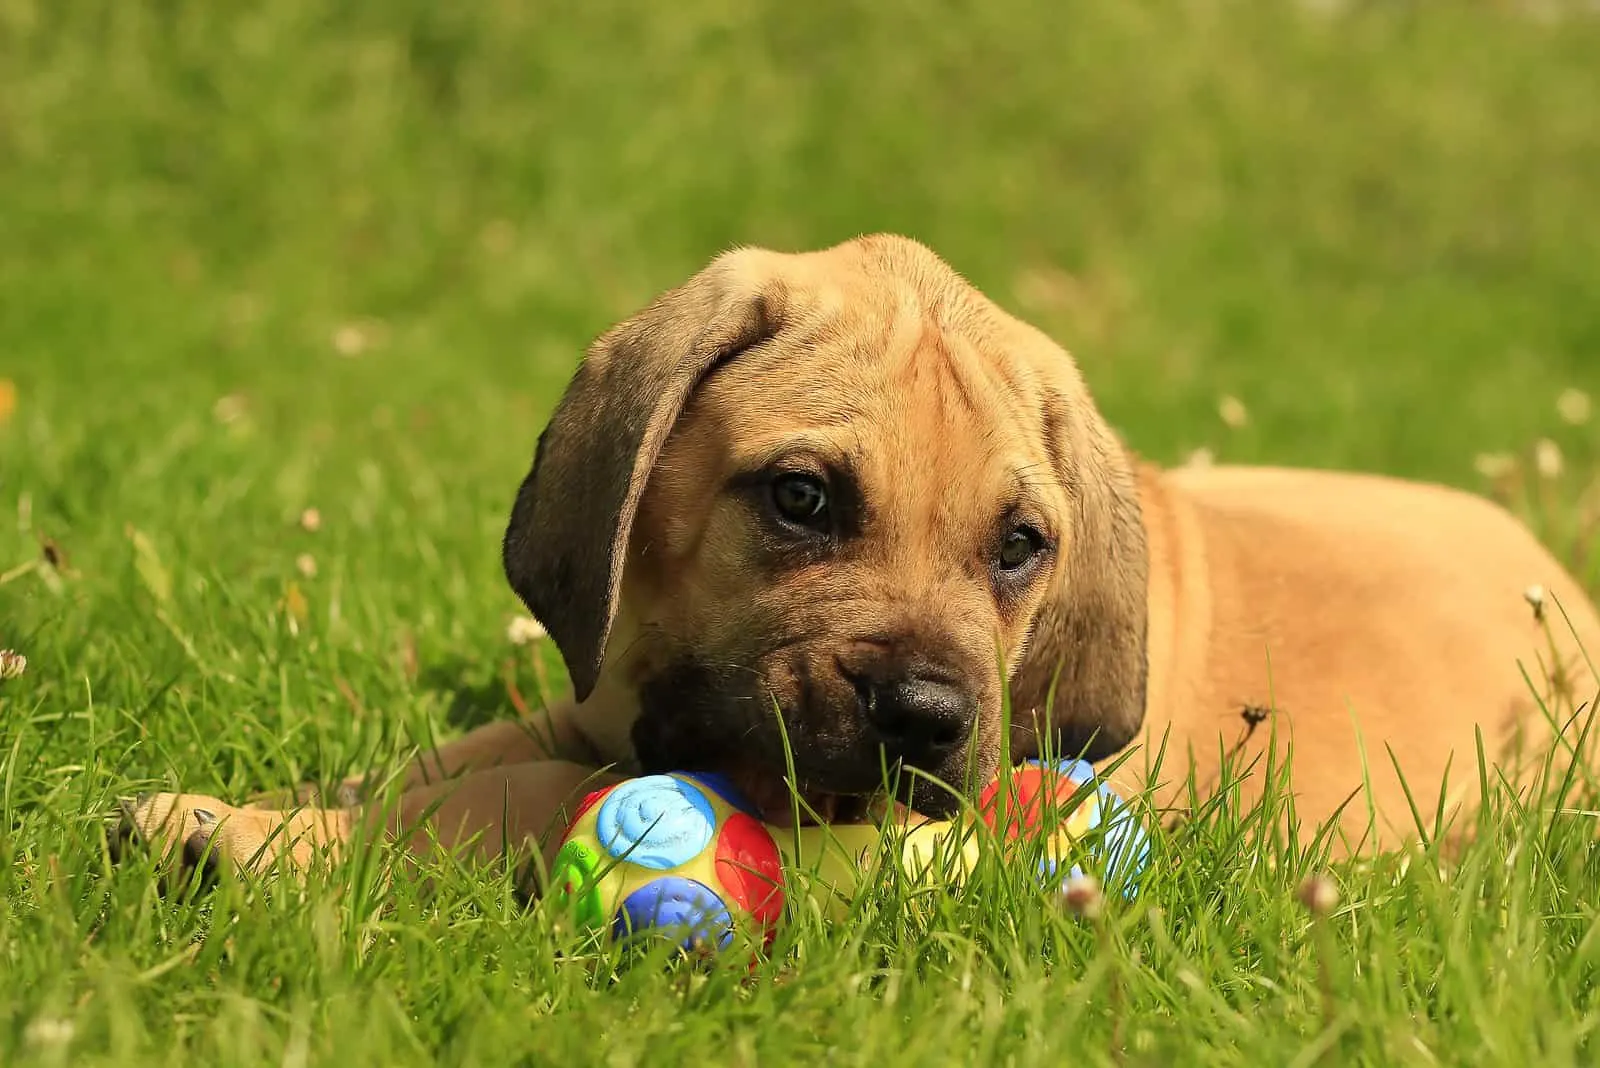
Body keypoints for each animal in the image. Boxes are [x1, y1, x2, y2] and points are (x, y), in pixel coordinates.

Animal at [121, 235, 1600, 882]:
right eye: (801, 499)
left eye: (1020, 548)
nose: (926, 722)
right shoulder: (593, 704)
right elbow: (443, 763)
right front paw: (281, 803)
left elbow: (508, 799)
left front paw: (265, 837)